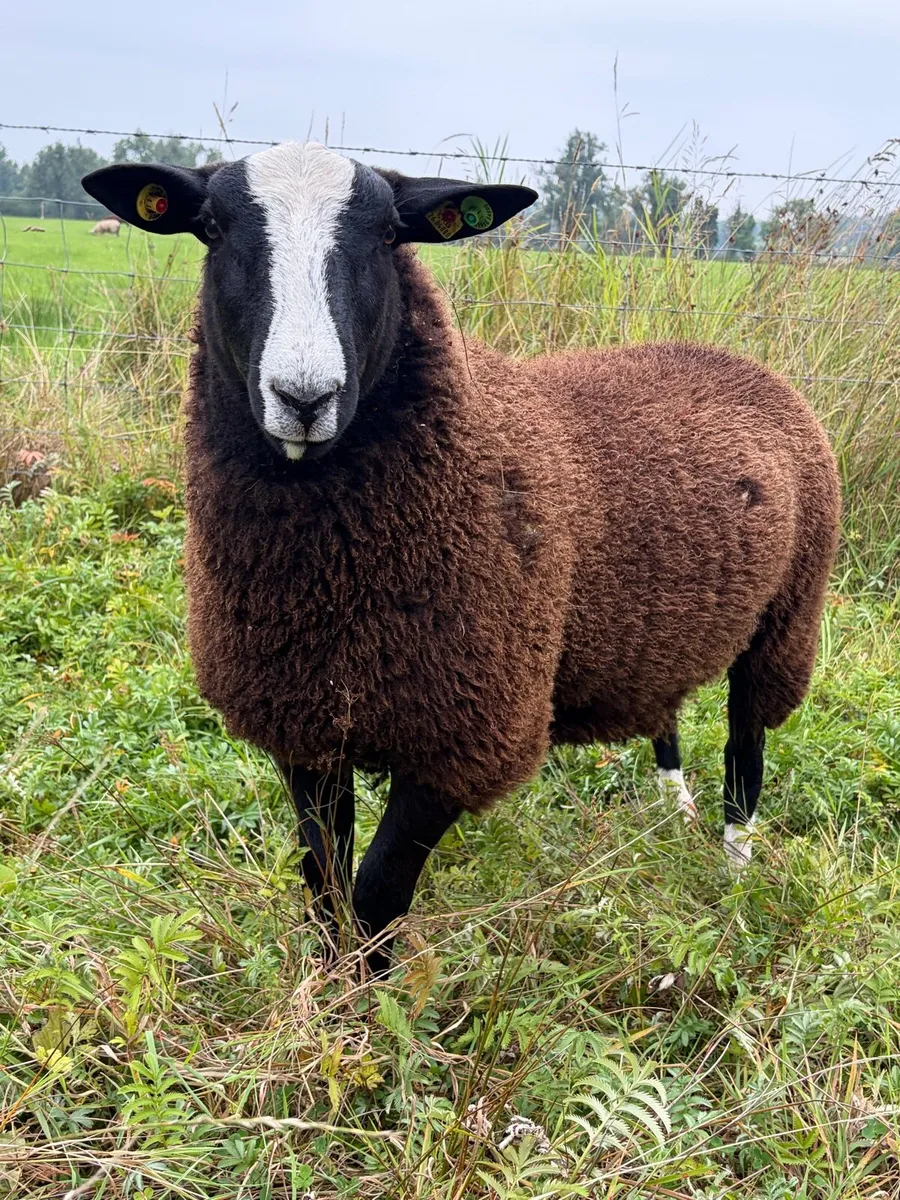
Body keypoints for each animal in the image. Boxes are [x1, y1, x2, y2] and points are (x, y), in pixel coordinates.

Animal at [82, 144, 840, 973]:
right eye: (212, 228)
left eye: (389, 235)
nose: (305, 397)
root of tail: (743, 363)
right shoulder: (305, 723)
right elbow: (324, 883)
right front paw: (328, 986)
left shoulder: (466, 736)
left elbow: (377, 897)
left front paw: (369, 999)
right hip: (653, 633)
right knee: (666, 715)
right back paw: (676, 813)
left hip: (785, 623)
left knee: (745, 751)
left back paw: (732, 875)